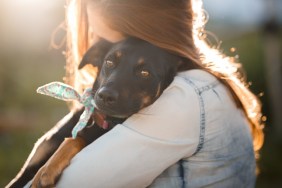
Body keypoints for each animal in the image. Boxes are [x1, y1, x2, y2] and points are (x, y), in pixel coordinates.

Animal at [6, 37, 196, 187]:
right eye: (109, 62)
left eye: (145, 72)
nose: (104, 95)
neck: (102, 120)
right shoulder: (24, 172)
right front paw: (49, 166)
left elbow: (75, 140)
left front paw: (48, 168)